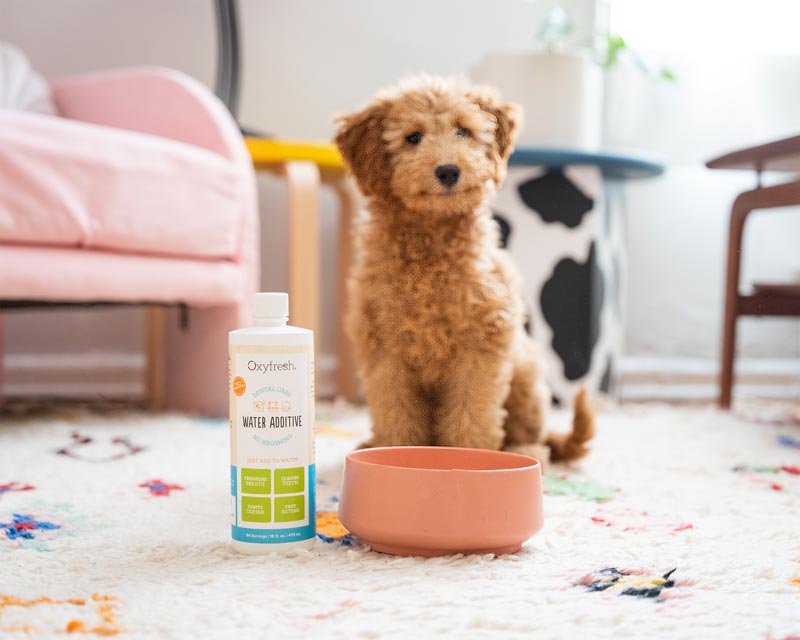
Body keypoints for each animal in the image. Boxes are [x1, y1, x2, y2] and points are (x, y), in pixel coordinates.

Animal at [332, 77, 592, 462]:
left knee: (535, 438)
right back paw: (369, 443)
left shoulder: (481, 346)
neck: (431, 244)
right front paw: (394, 451)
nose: (448, 171)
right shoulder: (385, 349)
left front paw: (471, 459)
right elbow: (397, 414)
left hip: (527, 376)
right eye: (412, 137)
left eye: (464, 131)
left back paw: (526, 452)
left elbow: (471, 417)